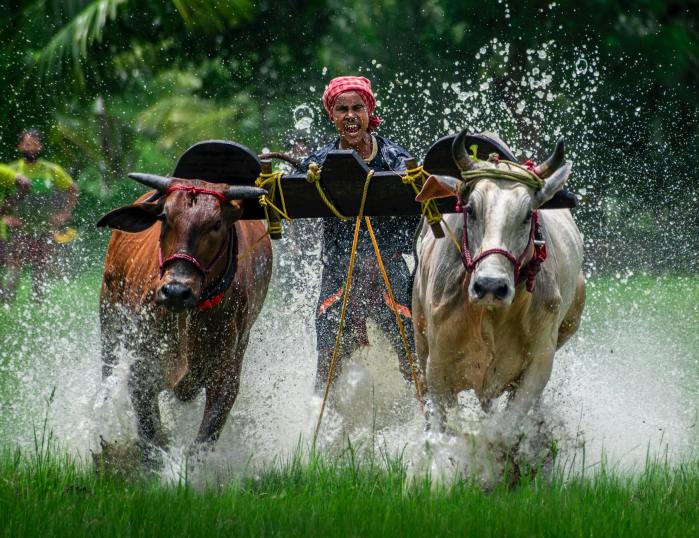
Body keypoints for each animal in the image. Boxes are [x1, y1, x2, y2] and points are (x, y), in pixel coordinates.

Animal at [97, 173, 272, 464]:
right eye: (165, 217)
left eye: (216, 224)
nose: (176, 291)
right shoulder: (141, 370)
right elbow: (151, 439)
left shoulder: (225, 379)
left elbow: (201, 443)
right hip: (109, 319)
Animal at [412, 131, 585, 431]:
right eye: (470, 210)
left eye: (528, 215)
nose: (490, 286)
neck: (489, 316)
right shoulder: (437, 366)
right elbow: (444, 425)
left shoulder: (539, 364)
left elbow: (502, 429)